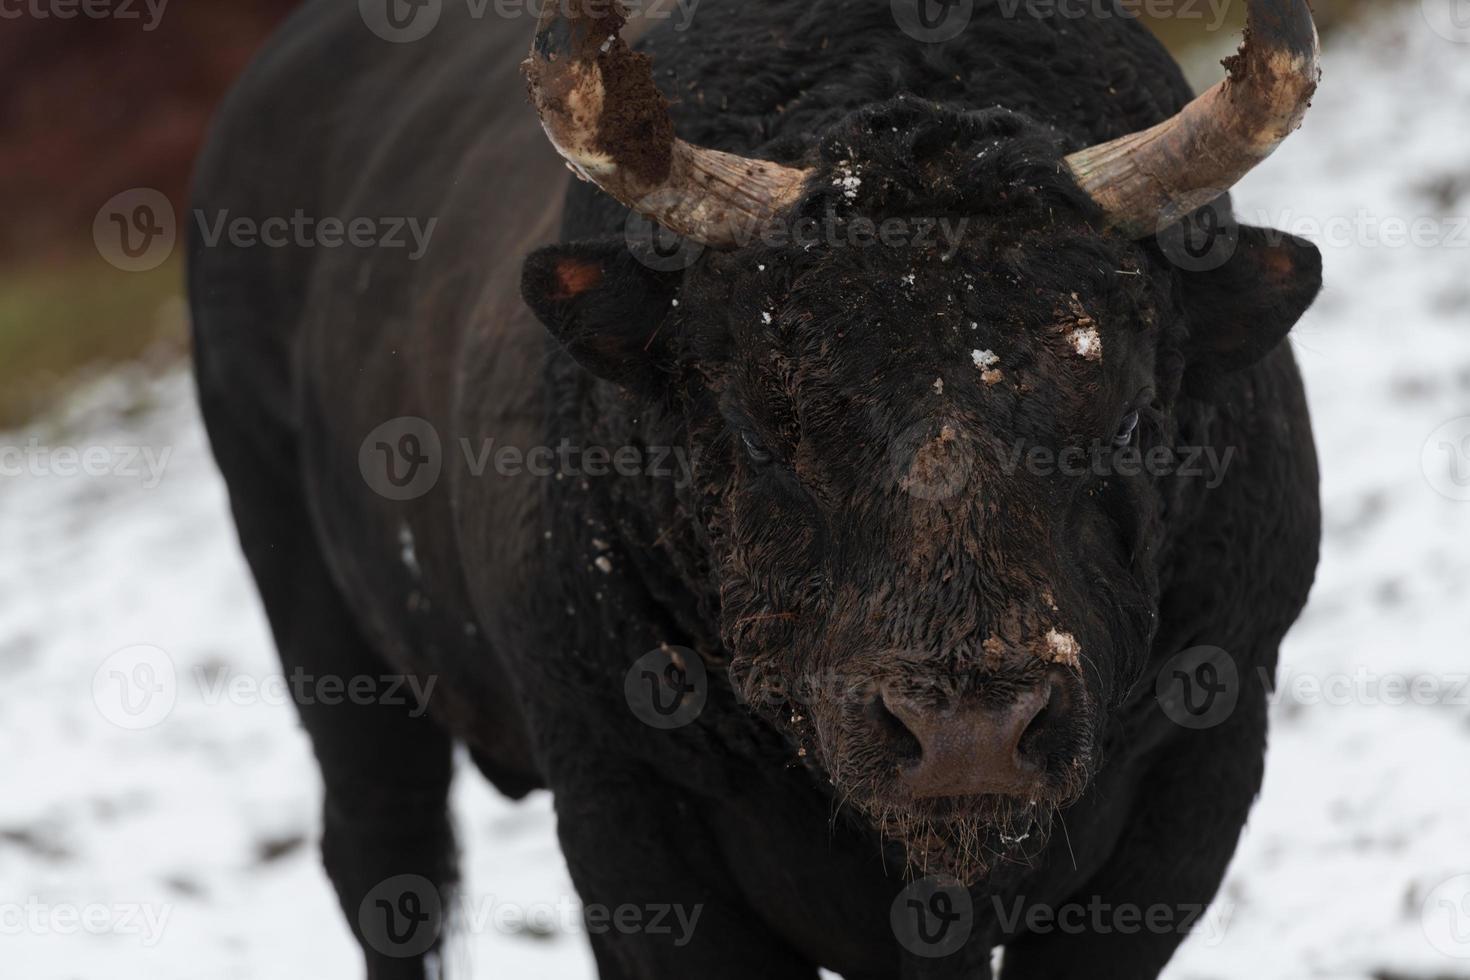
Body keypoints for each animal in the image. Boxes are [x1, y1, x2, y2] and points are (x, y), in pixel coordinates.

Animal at [186, 1, 1323, 980]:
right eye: (752, 426)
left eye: (1129, 417)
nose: (969, 733)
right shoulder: (628, 815)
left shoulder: (1198, 776)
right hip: (326, 639)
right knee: (388, 863)